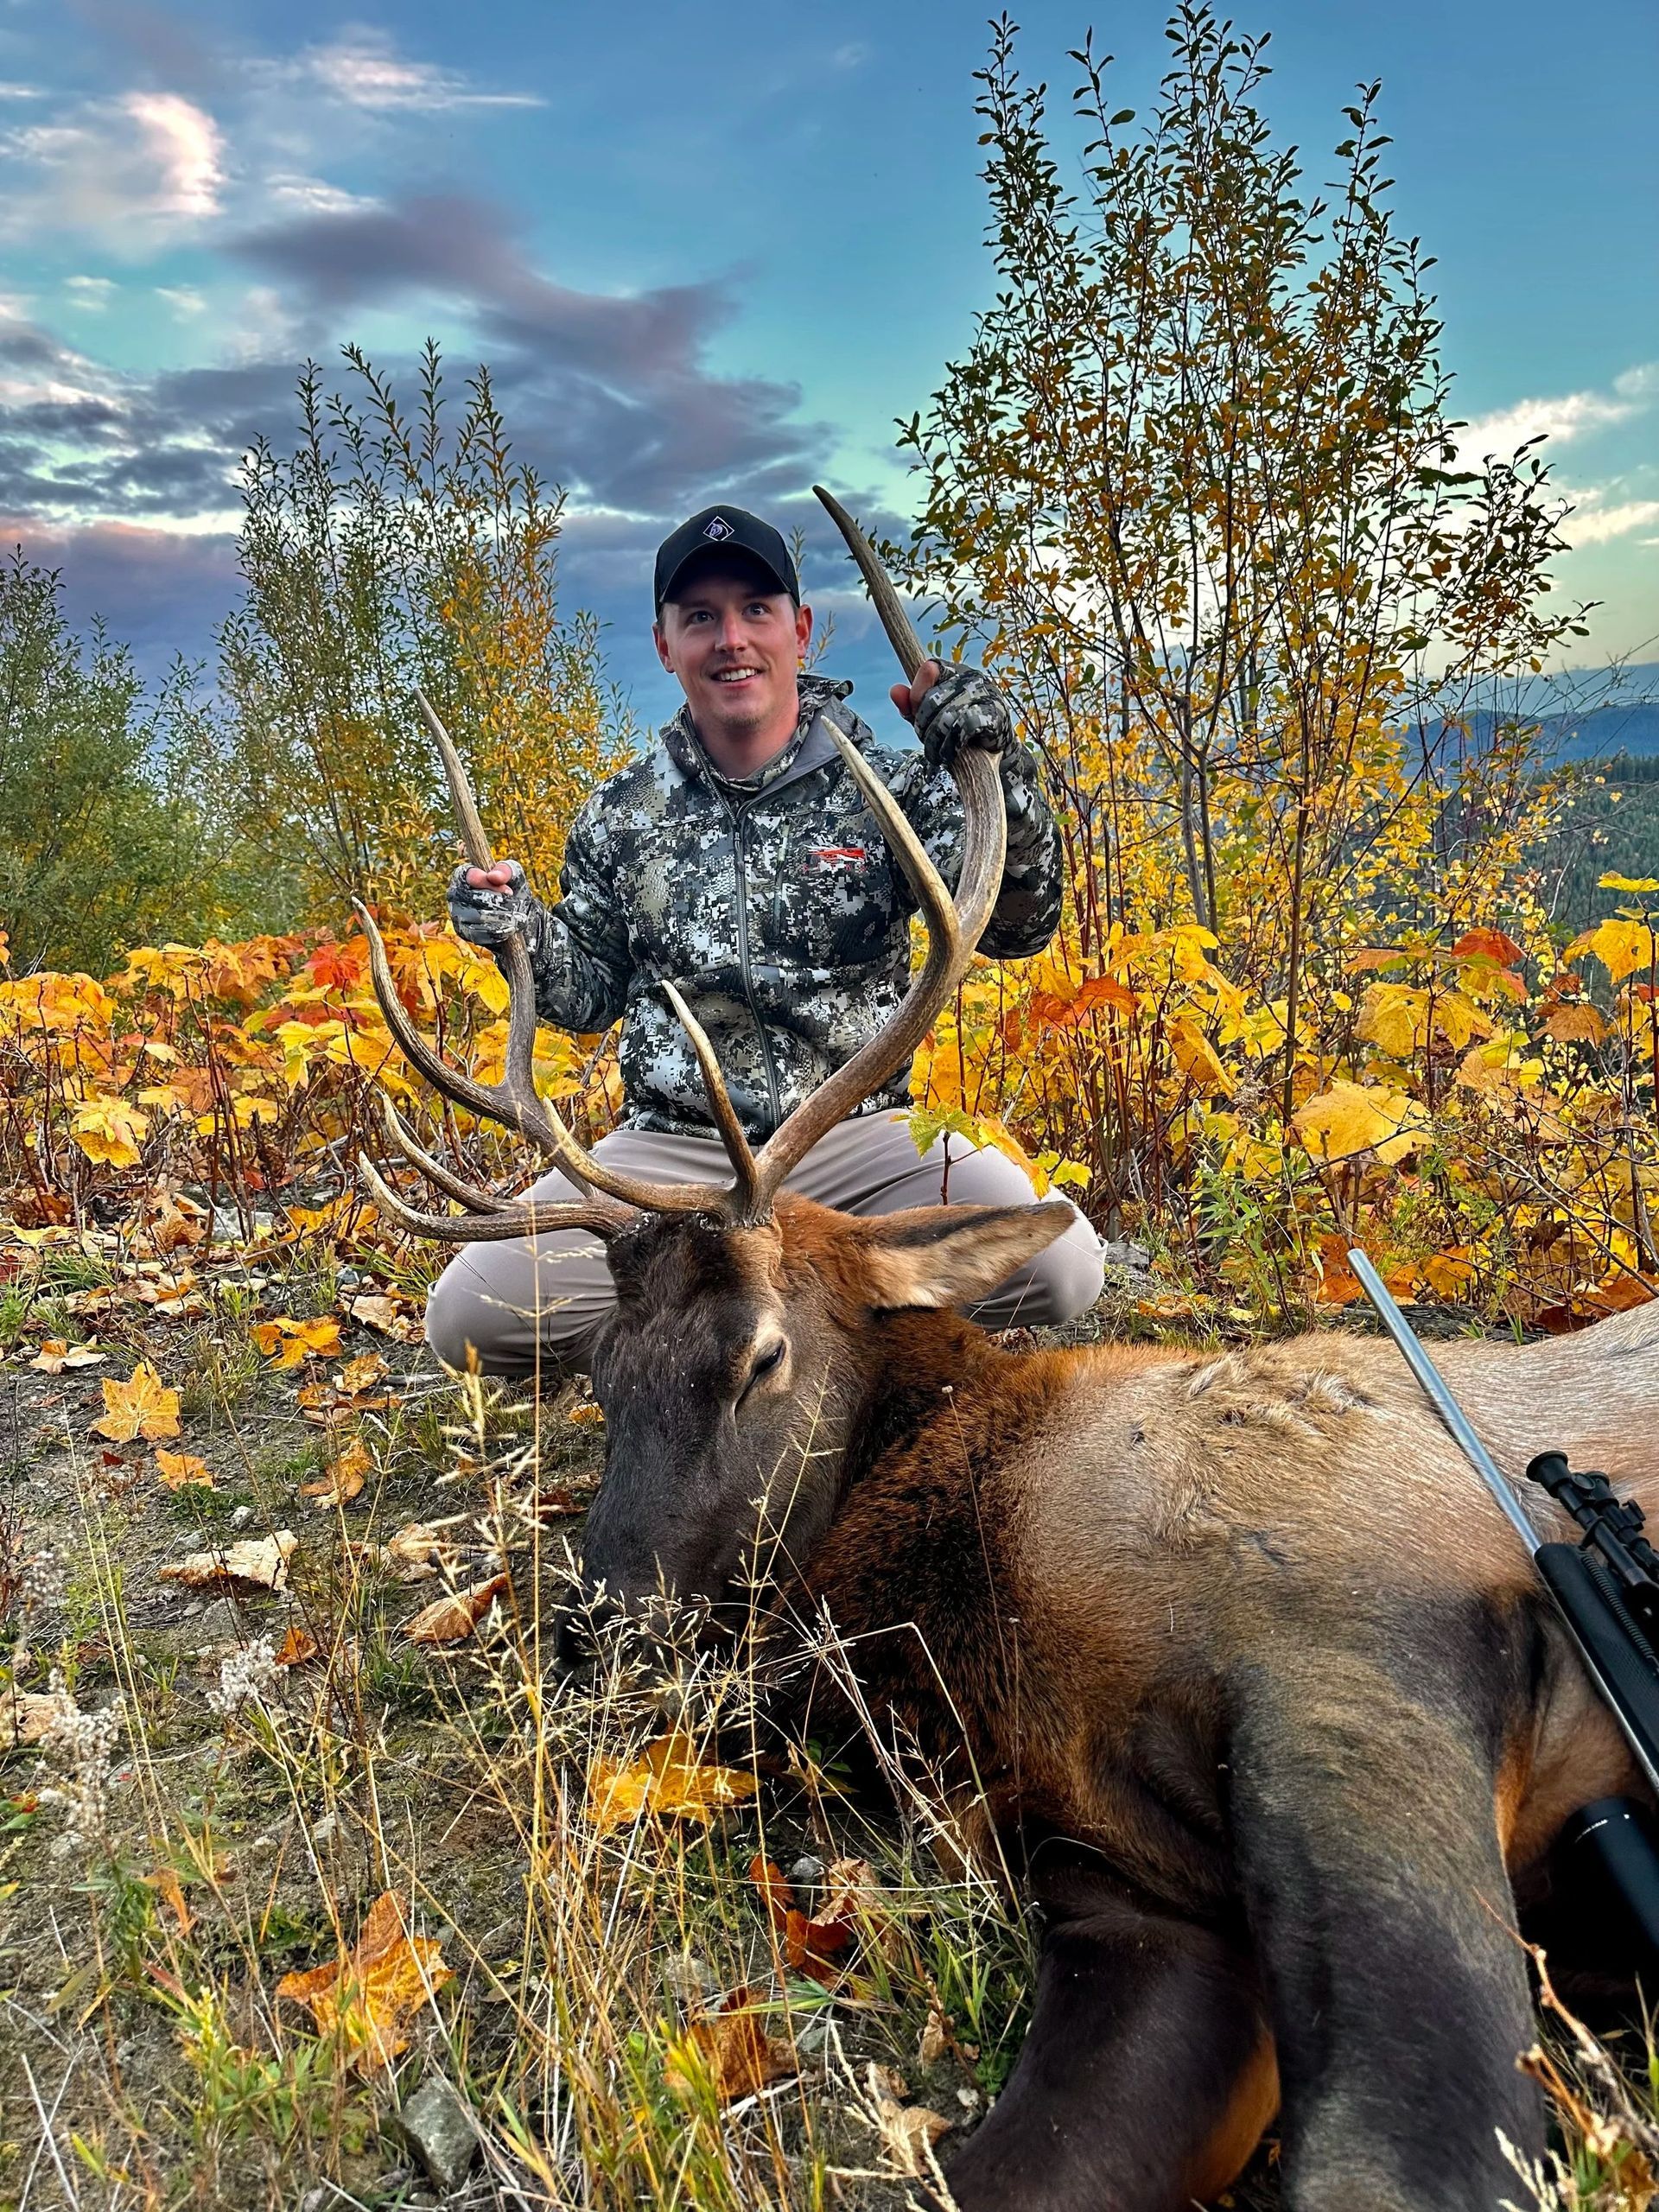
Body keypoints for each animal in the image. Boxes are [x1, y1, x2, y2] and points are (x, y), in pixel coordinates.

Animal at [354, 500, 1659, 2212]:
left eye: (762, 1358)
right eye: (599, 1375)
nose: (596, 1631)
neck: (985, 1581)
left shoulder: (1361, 1626)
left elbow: (1398, 2152)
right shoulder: (1122, 1871)